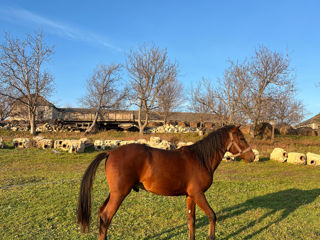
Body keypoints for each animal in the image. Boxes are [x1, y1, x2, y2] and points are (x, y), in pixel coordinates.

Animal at [76, 124, 254, 239]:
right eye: (241, 137)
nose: (252, 156)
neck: (200, 159)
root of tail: (110, 152)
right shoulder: (198, 194)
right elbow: (212, 216)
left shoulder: (190, 196)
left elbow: (191, 221)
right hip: (119, 194)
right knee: (106, 217)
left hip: (114, 193)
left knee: (101, 214)